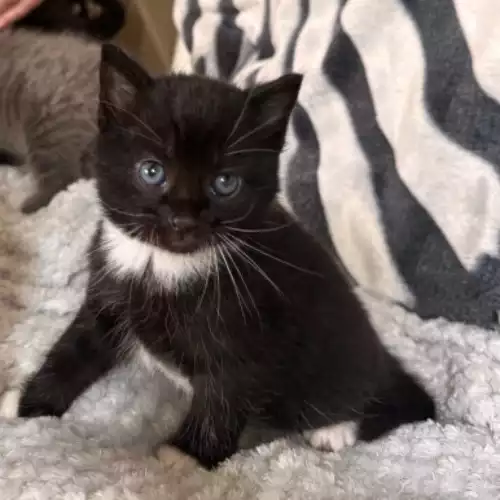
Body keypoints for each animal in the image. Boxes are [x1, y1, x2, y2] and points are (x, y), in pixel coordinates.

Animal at [12, 44, 434, 468]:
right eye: (152, 171)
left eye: (225, 183)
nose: (182, 219)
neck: (160, 265)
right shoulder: (108, 291)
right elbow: (74, 348)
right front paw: (25, 405)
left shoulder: (247, 337)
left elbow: (223, 400)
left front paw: (182, 459)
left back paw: (335, 429)